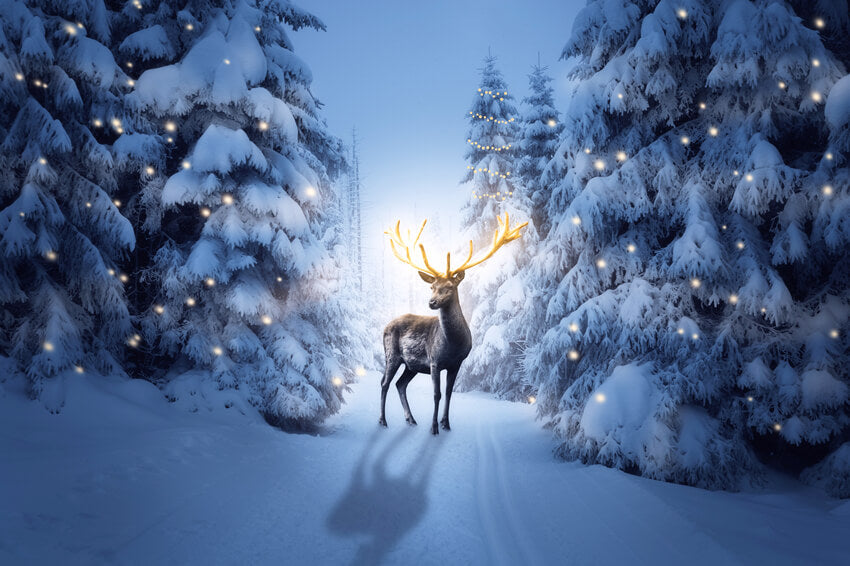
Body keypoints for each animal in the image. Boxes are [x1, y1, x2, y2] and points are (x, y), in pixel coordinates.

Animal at [378, 215, 524, 438]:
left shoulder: (456, 363)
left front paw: (446, 424)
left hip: (411, 365)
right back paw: (383, 421)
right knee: (384, 383)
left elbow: (448, 393)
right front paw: (434, 428)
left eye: (449, 287)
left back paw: (411, 419)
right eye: (432, 286)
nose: (431, 302)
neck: (453, 344)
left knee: (400, 384)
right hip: (392, 354)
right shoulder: (434, 361)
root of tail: (385, 326)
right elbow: (436, 394)